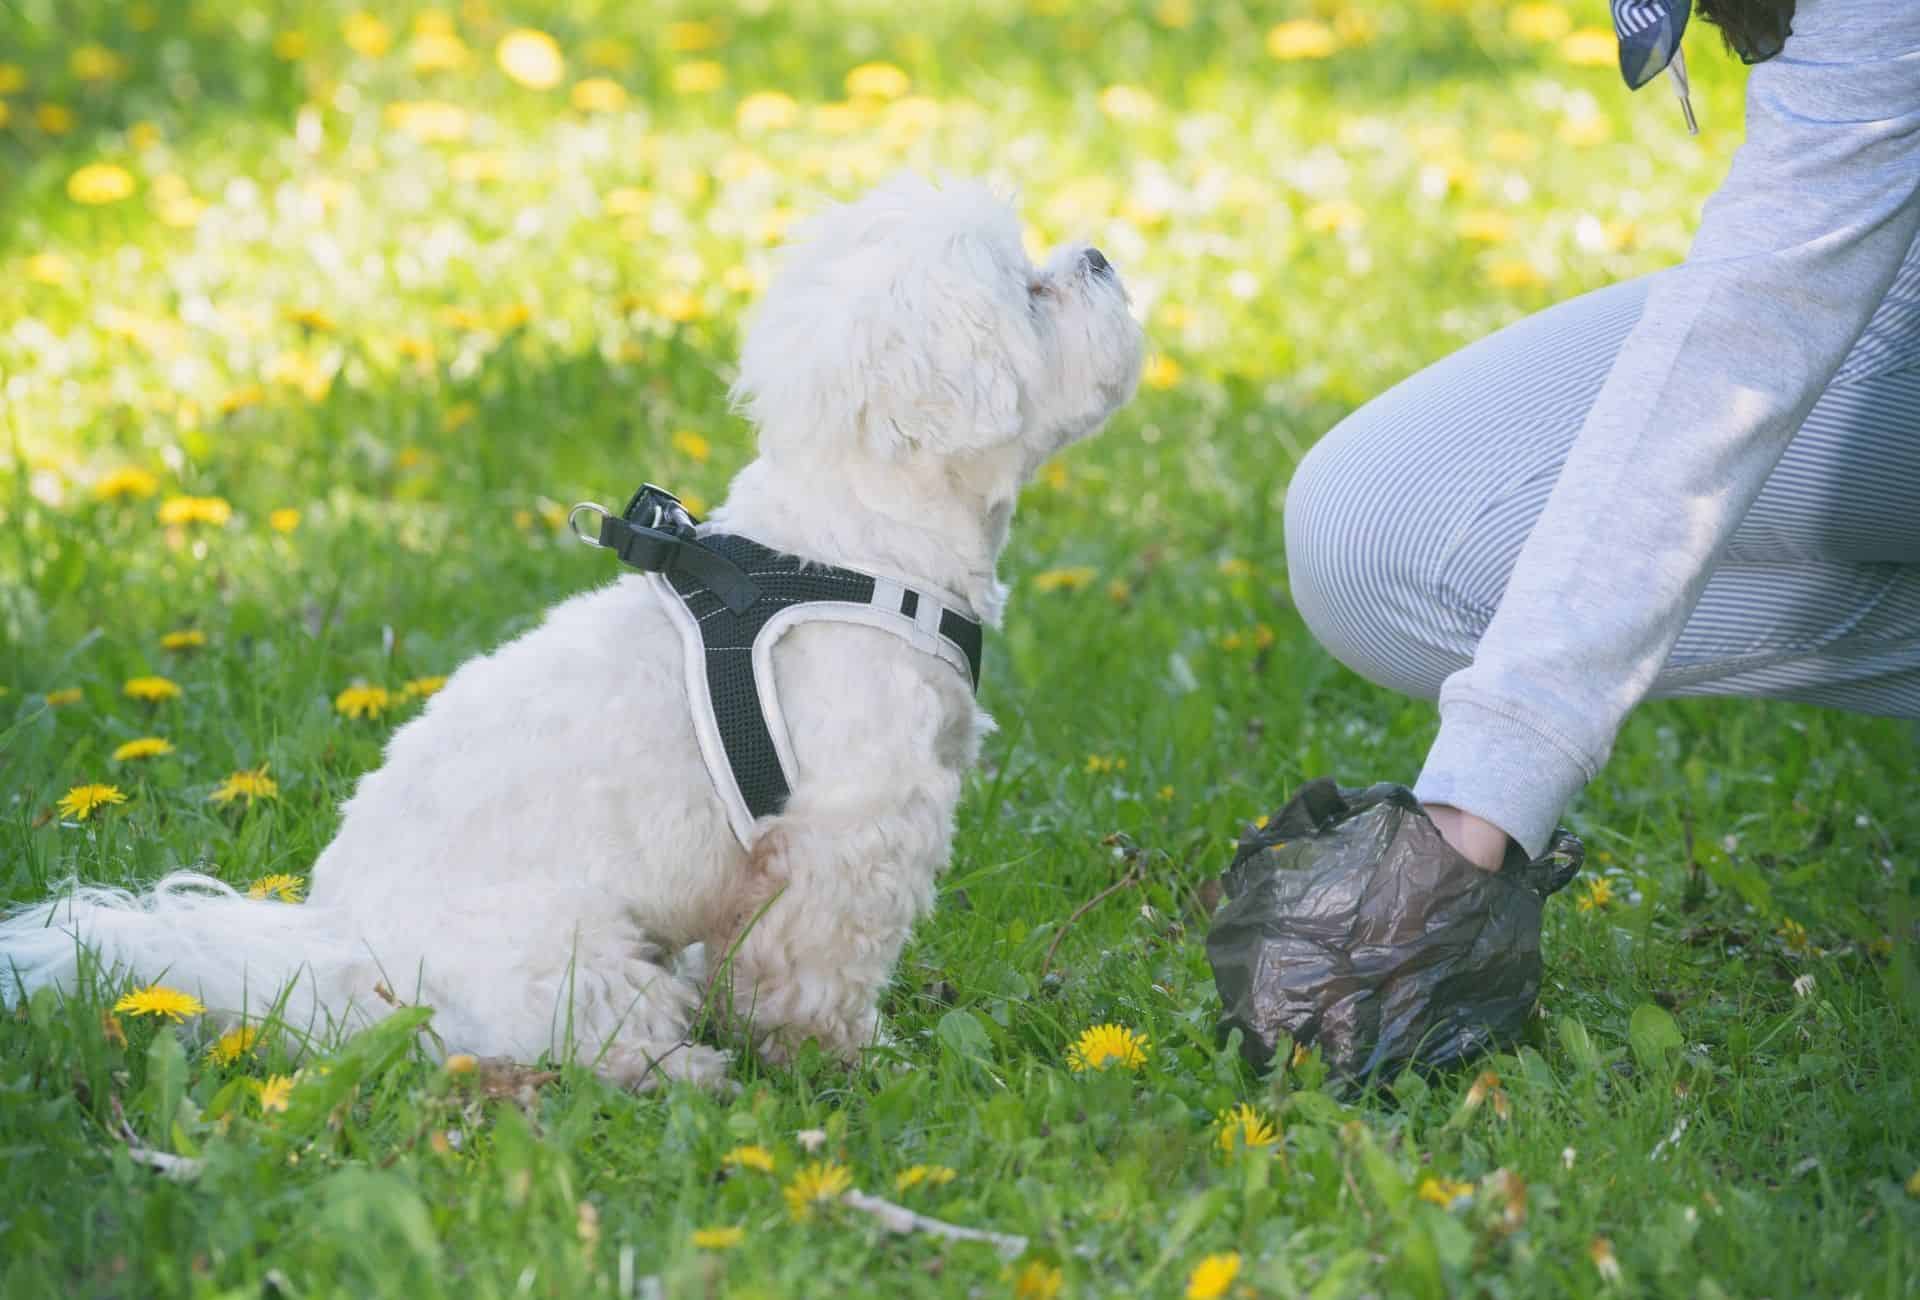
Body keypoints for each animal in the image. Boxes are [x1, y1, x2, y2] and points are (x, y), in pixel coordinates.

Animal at [0, 172, 1136, 1083]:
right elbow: (816, 970)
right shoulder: (850, 832)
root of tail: (348, 959)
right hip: (565, 956)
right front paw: (841, 1057)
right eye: (1028, 292)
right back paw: (683, 1071)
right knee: (581, 1039)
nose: (1101, 255)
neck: (857, 545)